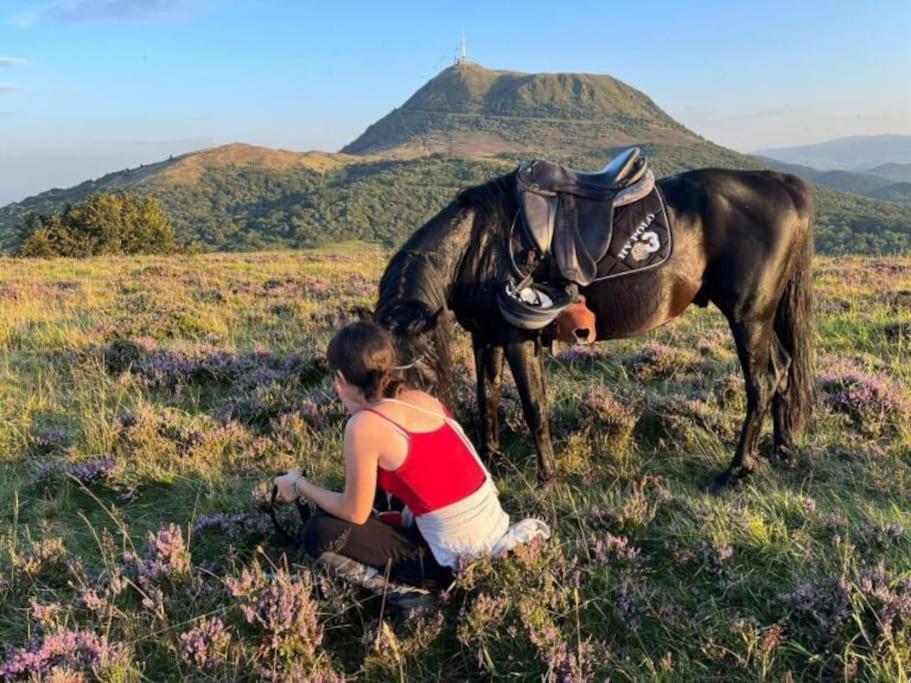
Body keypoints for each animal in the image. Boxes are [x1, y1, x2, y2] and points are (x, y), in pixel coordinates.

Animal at [374, 168, 816, 494]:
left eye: (421, 378)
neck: (479, 244)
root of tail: (781, 183)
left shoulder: (518, 341)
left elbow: (534, 407)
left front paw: (547, 478)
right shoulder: (485, 339)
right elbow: (488, 399)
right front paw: (492, 460)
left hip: (748, 317)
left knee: (761, 382)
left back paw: (737, 469)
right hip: (762, 318)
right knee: (783, 368)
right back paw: (781, 449)